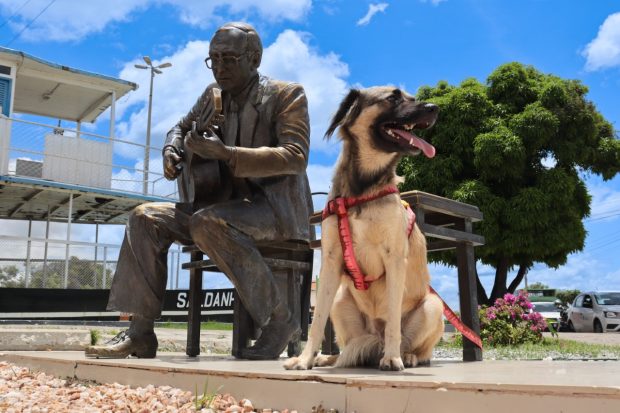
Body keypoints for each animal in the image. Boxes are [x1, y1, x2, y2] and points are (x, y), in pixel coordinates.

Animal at [286, 87, 446, 370]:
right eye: (393, 97)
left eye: (412, 97)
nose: (434, 108)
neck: (363, 188)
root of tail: (374, 338)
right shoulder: (331, 261)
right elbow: (316, 323)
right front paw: (305, 359)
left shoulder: (395, 259)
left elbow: (393, 319)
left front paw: (392, 358)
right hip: (340, 300)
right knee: (344, 346)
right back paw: (326, 358)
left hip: (433, 306)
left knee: (416, 347)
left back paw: (406, 355)